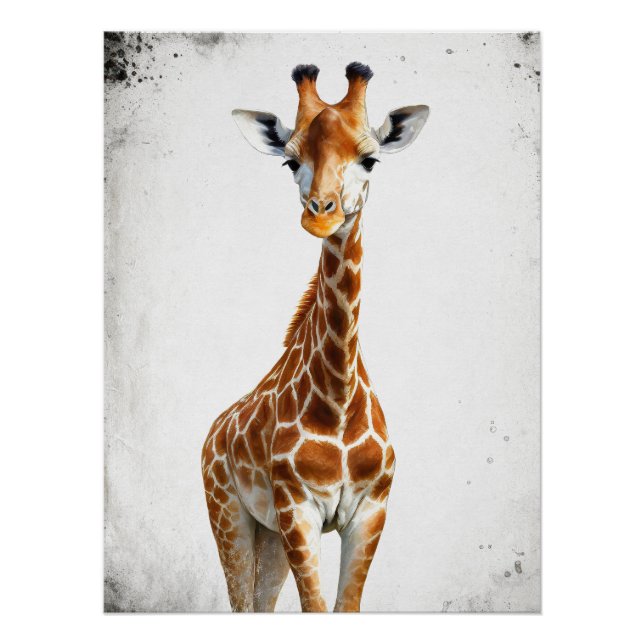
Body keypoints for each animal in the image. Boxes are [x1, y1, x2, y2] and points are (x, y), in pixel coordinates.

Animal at [201, 62, 429, 612]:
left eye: (370, 158)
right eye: (290, 161)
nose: (320, 213)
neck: (339, 398)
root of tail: (211, 433)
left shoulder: (371, 510)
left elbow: (345, 607)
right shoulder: (298, 509)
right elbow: (317, 609)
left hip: (267, 534)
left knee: (260, 604)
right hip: (230, 516)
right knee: (241, 603)